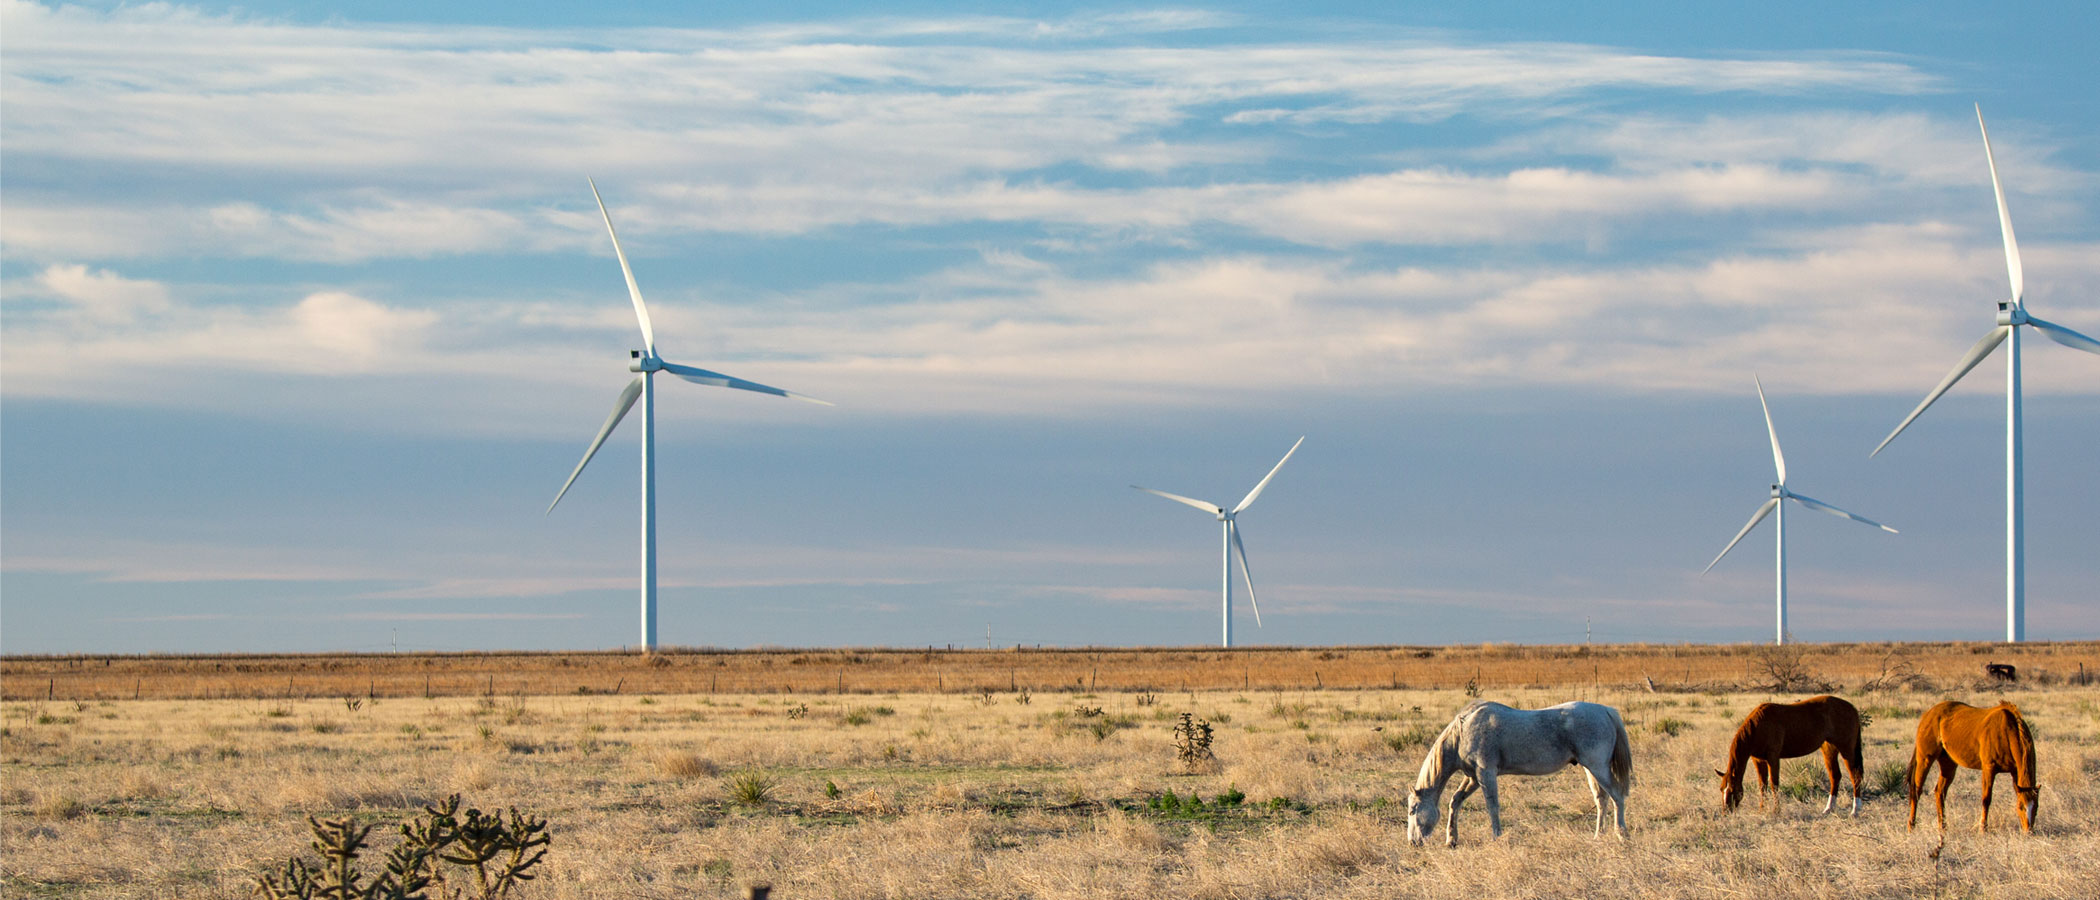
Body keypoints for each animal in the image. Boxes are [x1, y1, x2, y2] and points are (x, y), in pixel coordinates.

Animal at [1411, 696, 1637, 843]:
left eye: (1413, 809)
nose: (1413, 842)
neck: (1463, 730)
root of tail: (1606, 710)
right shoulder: (1473, 778)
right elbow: (1455, 801)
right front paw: (1451, 840)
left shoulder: (1486, 773)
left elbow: (1492, 806)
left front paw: (1496, 837)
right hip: (1591, 770)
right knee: (1601, 800)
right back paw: (1599, 835)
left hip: (1598, 768)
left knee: (1617, 796)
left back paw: (1621, 834)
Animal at [1713, 696, 1864, 813]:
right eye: (1721, 789)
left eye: (1732, 790)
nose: (1725, 812)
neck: (1759, 727)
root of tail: (1852, 708)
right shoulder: (1758, 760)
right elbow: (1762, 786)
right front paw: (1762, 809)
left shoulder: (1773, 758)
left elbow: (1774, 785)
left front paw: (1776, 811)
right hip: (1829, 749)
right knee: (1835, 777)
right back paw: (1828, 809)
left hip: (1847, 750)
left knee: (1855, 776)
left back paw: (1855, 810)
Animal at [1906, 696, 2032, 830]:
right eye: (2021, 807)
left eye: (2036, 806)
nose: (2029, 830)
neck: (2006, 730)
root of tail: (1927, 714)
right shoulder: (1989, 769)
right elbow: (1986, 799)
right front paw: (1983, 829)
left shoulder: (2015, 772)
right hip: (1925, 759)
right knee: (1917, 791)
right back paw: (1911, 827)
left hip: (1948, 765)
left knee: (1939, 792)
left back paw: (1942, 828)